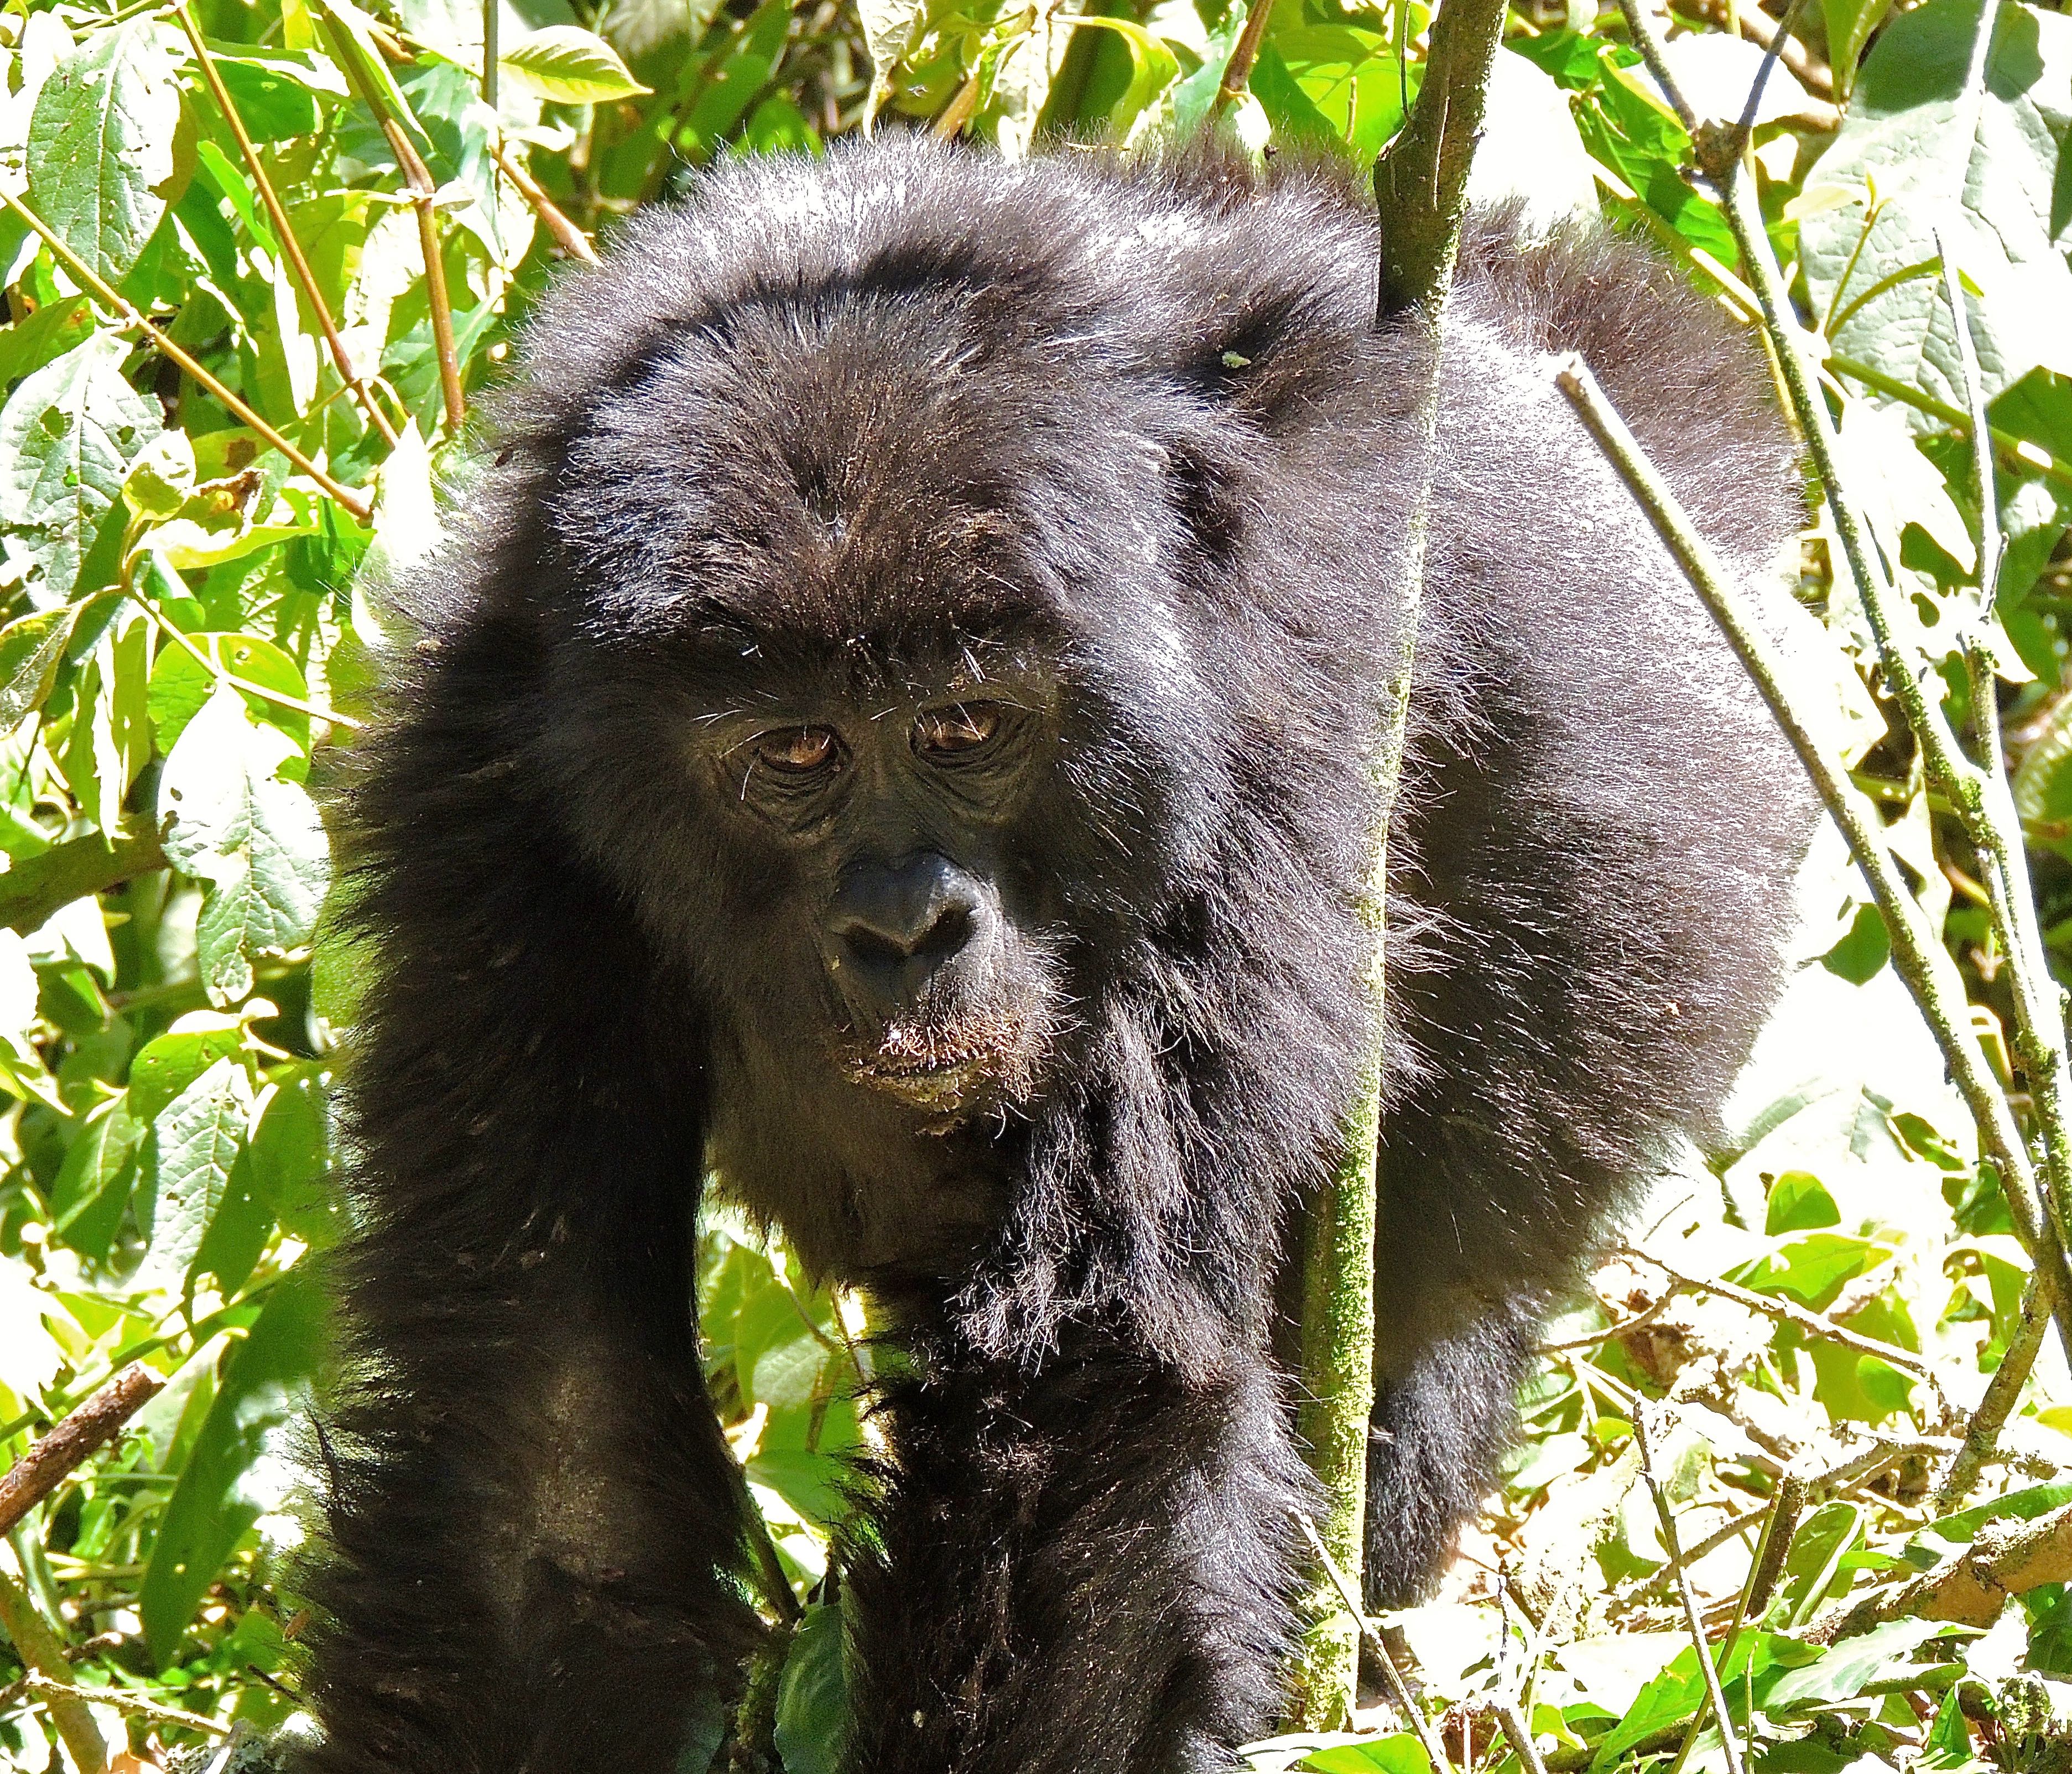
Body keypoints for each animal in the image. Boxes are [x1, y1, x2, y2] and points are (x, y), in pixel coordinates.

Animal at [302, 134, 1815, 1774]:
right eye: (794, 753)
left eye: (966, 729)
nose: (907, 928)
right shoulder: (487, 788)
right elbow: (541, 1440)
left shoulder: (1270, 719)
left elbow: (1093, 1394)